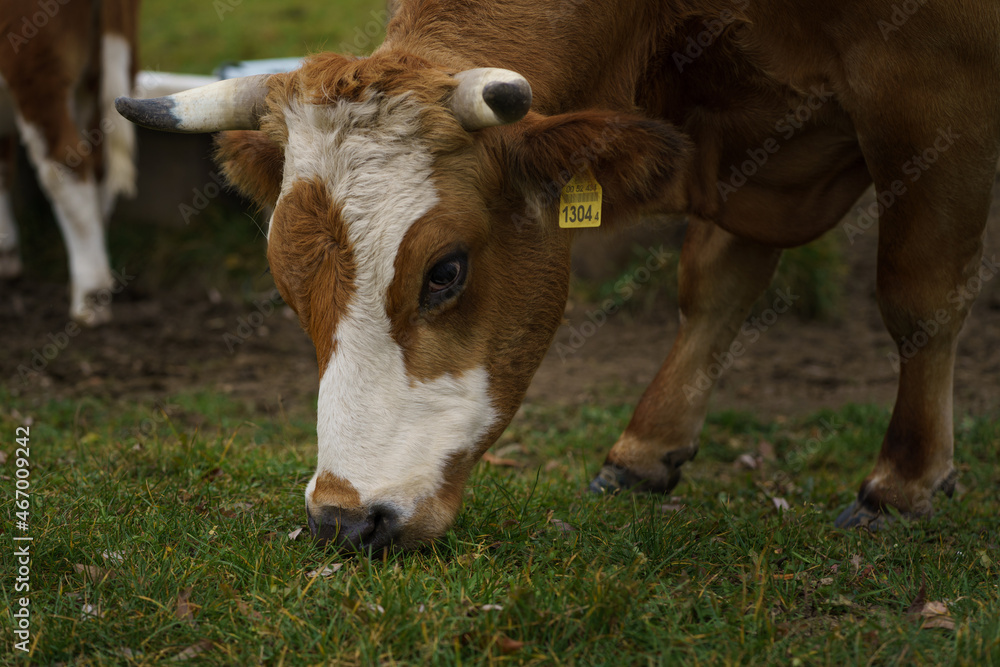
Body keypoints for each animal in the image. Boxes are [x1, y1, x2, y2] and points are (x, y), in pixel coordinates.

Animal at [117, 0, 1000, 552]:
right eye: (286, 285)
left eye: (445, 271)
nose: (343, 520)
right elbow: (715, 284)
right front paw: (646, 449)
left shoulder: (935, 84)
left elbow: (918, 292)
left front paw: (904, 482)